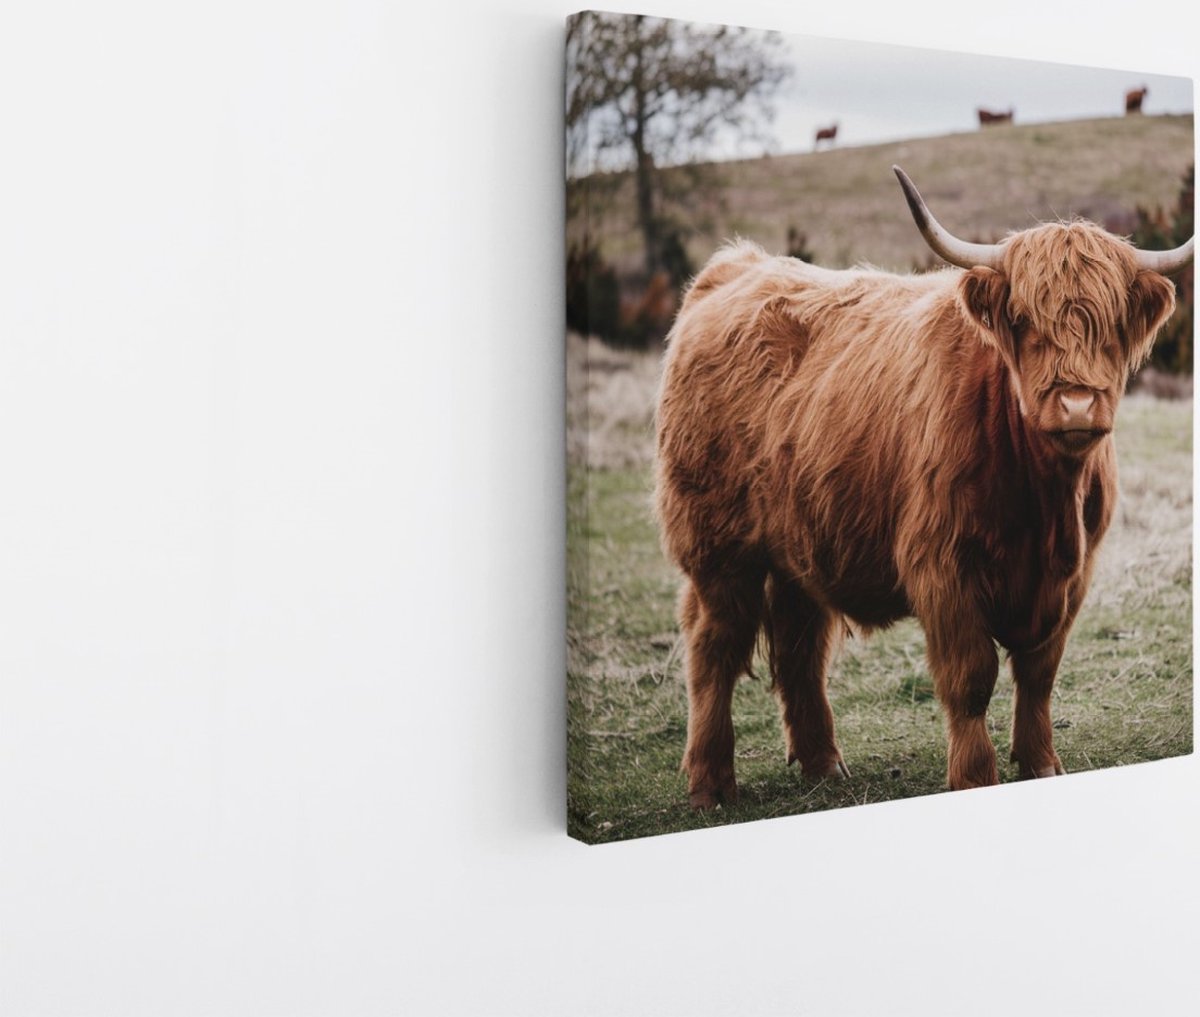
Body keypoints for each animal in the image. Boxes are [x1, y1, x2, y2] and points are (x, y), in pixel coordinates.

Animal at [655, 166, 1193, 808]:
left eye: (1110, 325)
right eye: (1025, 323)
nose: (1077, 404)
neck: (1043, 503)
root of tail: (735, 267)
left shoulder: (1073, 575)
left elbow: (1039, 674)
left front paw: (1042, 764)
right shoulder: (944, 566)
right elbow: (971, 678)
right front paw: (975, 776)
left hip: (797, 546)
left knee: (799, 646)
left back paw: (823, 763)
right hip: (718, 550)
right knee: (715, 647)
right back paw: (710, 784)